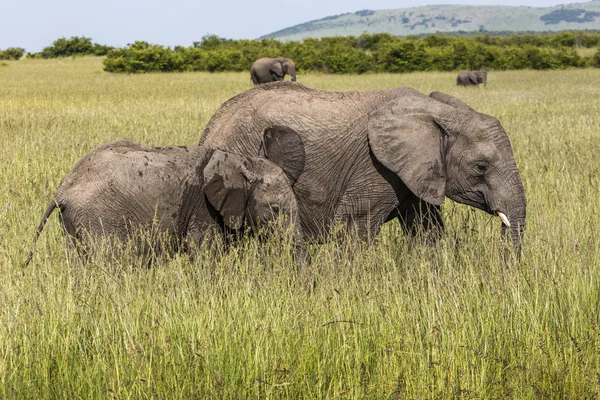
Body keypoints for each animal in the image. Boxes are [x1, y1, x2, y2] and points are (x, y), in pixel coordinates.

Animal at [27, 127, 304, 266]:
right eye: (275, 209)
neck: (244, 162)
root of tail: (63, 188)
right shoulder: (203, 209)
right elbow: (205, 257)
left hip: (74, 222)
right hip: (98, 217)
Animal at [200, 83, 524, 255]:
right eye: (481, 166)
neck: (437, 112)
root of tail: (212, 125)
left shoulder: (417, 173)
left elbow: (427, 230)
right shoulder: (376, 169)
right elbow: (354, 228)